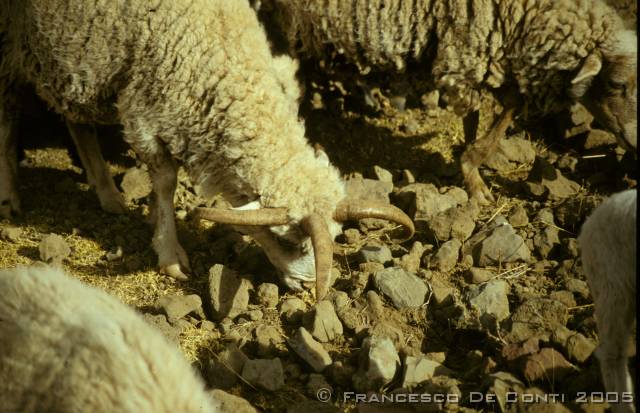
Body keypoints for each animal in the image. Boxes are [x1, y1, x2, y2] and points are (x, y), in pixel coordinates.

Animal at [0, 0, 416, 298]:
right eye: (286, 240)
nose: (307, 288)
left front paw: (151, 219)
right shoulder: (146, 109)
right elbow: (166, 183)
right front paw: (169, 253)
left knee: (76, 120)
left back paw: (108, 193)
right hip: (9, 47)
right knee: (7, 121)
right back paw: (10, 198)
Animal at [260, 0, 636, 204]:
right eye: (616, 83)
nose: (635, 144)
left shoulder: (483, 54)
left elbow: (493, 109)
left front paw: (467, 158)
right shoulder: (467, 50)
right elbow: (501, 106)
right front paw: (473, 175)